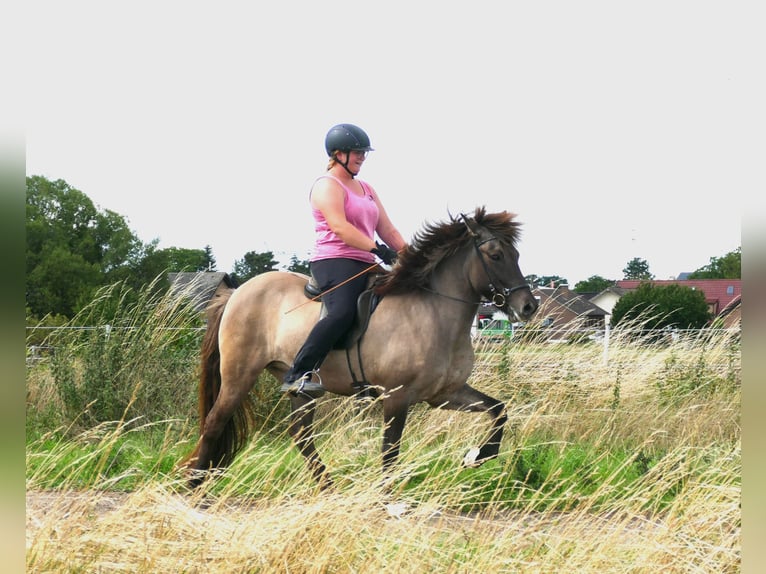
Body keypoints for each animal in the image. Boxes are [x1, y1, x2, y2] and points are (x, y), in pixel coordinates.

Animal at [182, 209, 540, 488]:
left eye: (517, 256)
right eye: (496, 255)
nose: (528, 307)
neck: (434, 312)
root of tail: (238, 292)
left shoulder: (445, 394)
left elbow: (499, 410)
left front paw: (476, 456)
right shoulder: (396, 396)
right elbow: (390, 451)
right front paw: (387, 501)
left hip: (298, 386)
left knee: (301, 436)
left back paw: (328, 487)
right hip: (239, 375)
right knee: (214, 424)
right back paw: (195, 487)